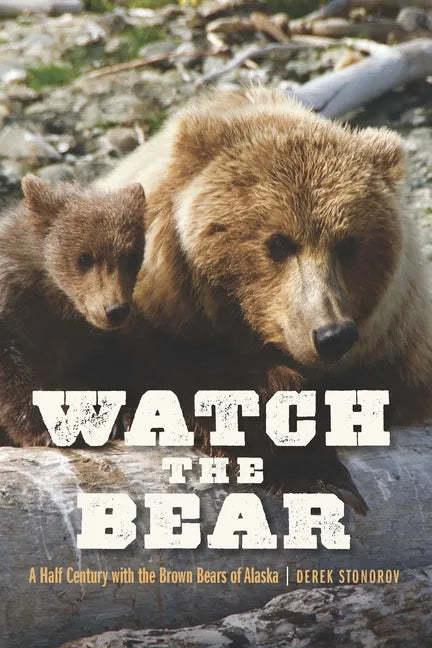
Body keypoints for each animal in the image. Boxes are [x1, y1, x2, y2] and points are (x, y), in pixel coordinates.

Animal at [0, 175, 146, 447]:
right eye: (84, 258)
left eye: (131, 257)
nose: (115, 310)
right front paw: (44, 429)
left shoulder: (85, 339)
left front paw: (123, 417)